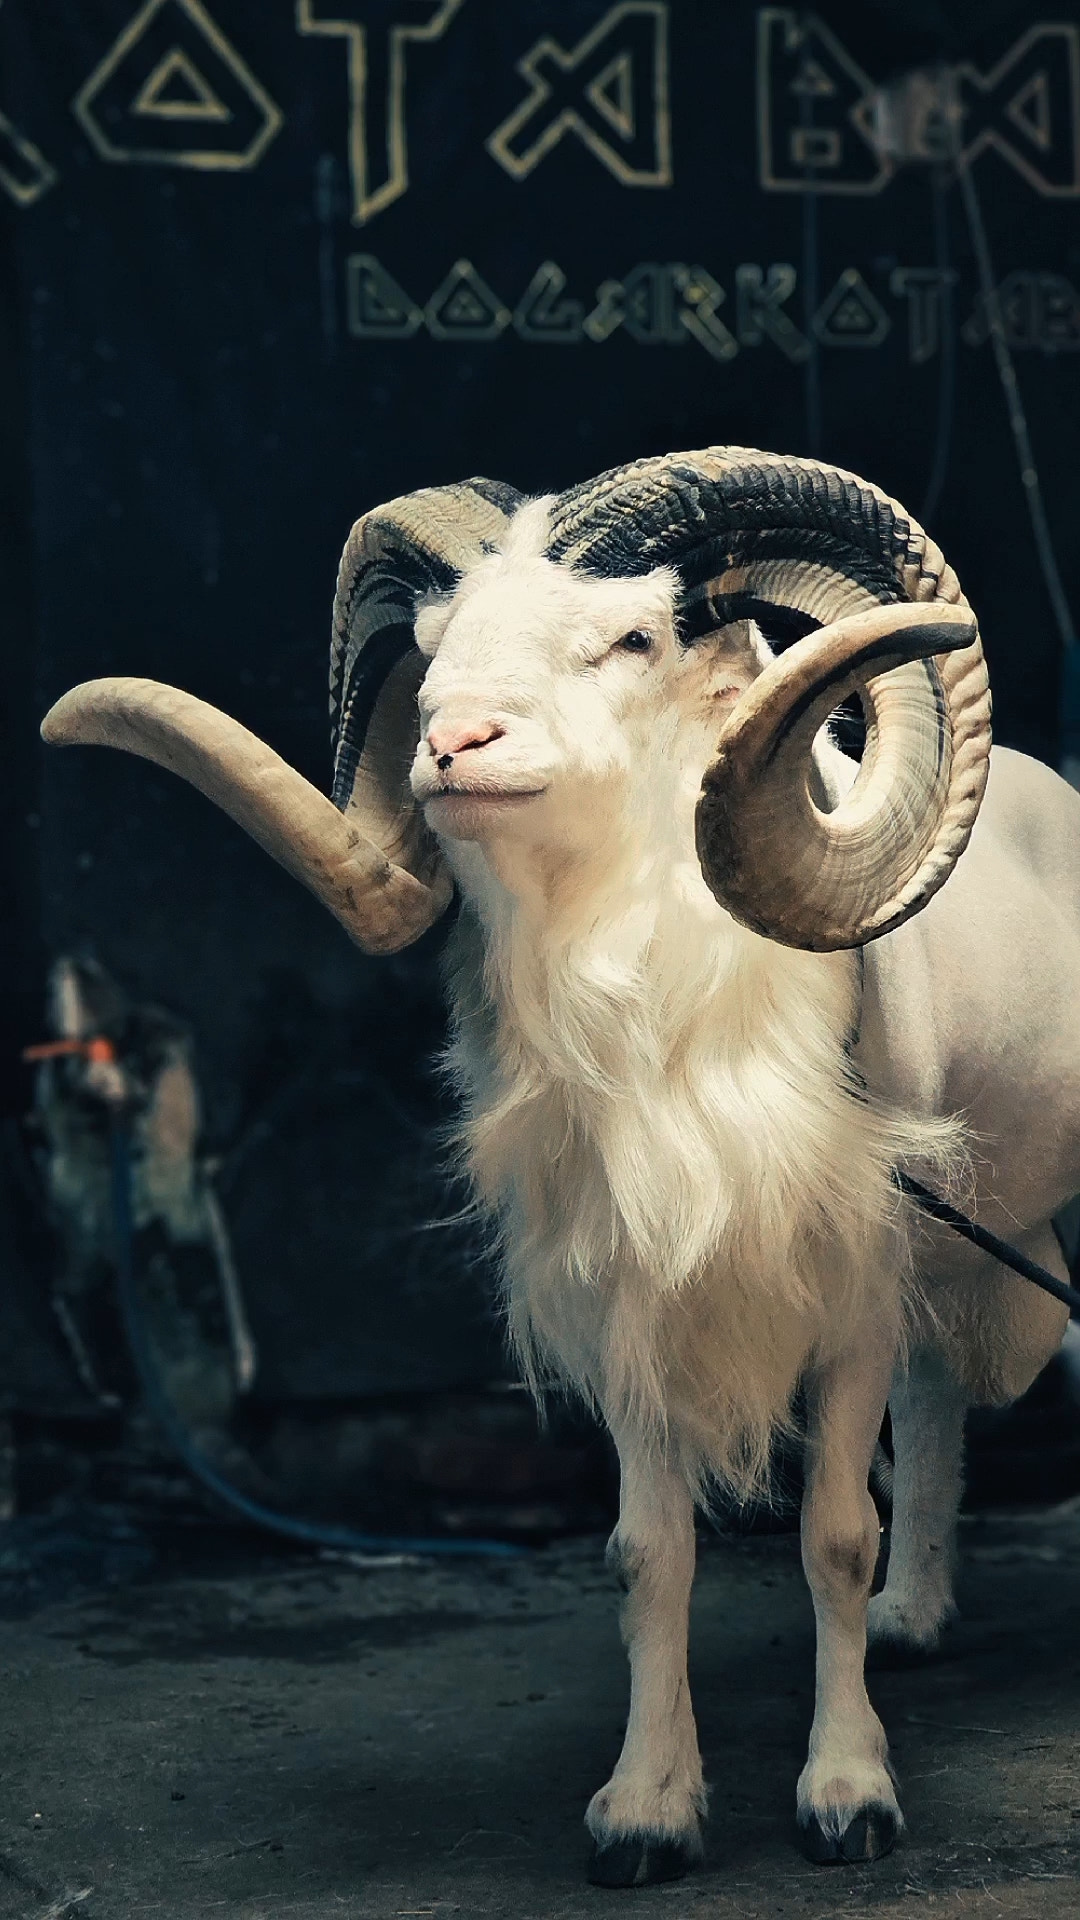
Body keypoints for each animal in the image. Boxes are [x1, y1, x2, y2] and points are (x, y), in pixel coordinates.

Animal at [42, 446, 1080, 1885]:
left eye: (634, 638)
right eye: (432, 648)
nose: (452, 745)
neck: (666, 1019)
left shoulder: (852, 1291)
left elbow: (831, 1536)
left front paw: (847, 1797)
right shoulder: (637, 1306)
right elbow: (649, 1555)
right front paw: (645, 1812)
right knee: (936, 1406)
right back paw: (915, 1620)